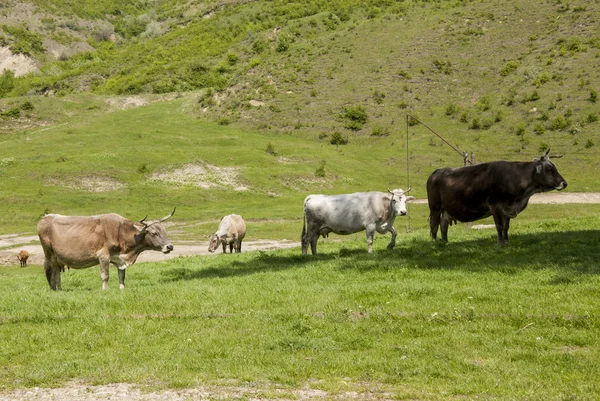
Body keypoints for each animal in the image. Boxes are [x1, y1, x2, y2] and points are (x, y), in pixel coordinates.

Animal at [36, 208, 175, 290]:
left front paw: (122, 289)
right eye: (154, 233)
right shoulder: (103, 255)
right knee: (54, 273)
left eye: (164, 230)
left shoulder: (119, 259)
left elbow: (121, 276)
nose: (170, 246)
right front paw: (105, 290)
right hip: (50, 255)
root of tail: (46, 217)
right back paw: (56, 290)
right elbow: (105, 275)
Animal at [426, 150, 568, 244]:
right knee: (434, 224)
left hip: (446, 209)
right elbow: (499, 225)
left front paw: (506, 241)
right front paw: (500, 243)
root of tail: (436, 172)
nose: (564, 183)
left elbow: (506, 226)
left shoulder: (507, 207)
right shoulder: (495, 206)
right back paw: (435, 243)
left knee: (443, 223)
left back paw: (445, 242)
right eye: (549, 169)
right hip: (435, 206)